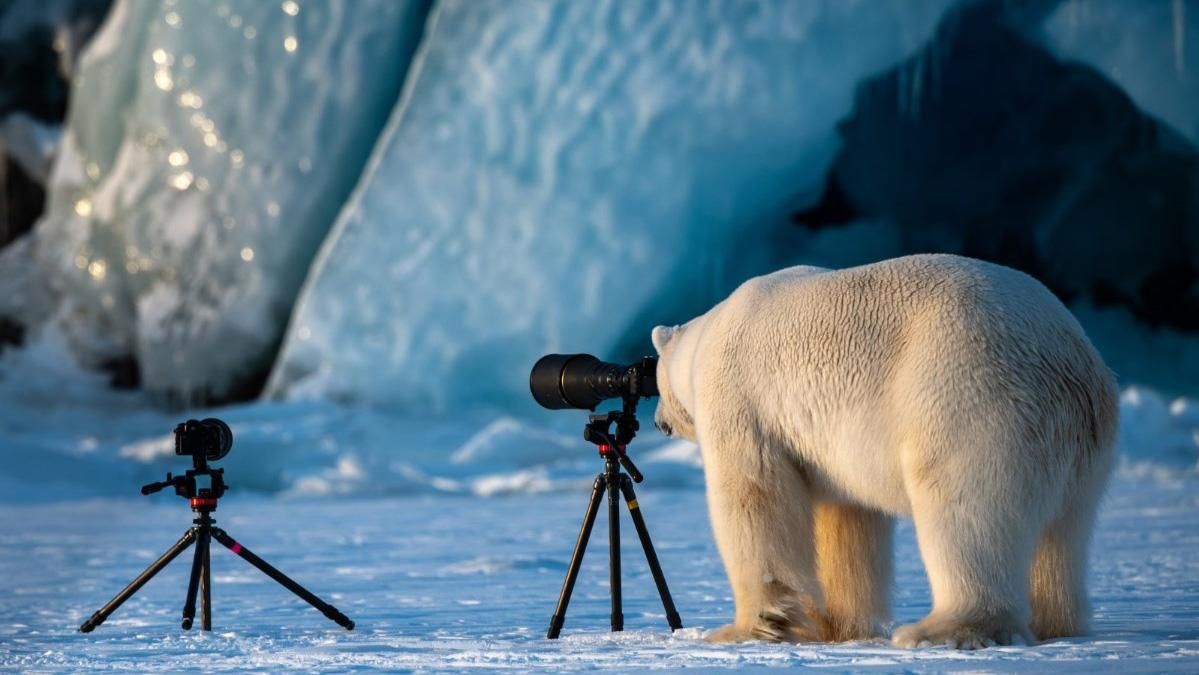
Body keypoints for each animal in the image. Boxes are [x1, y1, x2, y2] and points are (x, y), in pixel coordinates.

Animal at [652, 255, 1117, 647]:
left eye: (654, 381)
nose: (658, 422)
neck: (707, 336)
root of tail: (1071, 360)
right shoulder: (831, 449)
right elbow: (847, 520)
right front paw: (836, 627)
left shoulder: (741, 400)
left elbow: (754, 497)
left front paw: (748, 628)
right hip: (1080, 448)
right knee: (1064, 533)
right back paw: (1056, 623)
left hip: (972, 399)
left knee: (965, 513)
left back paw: (941, 629)